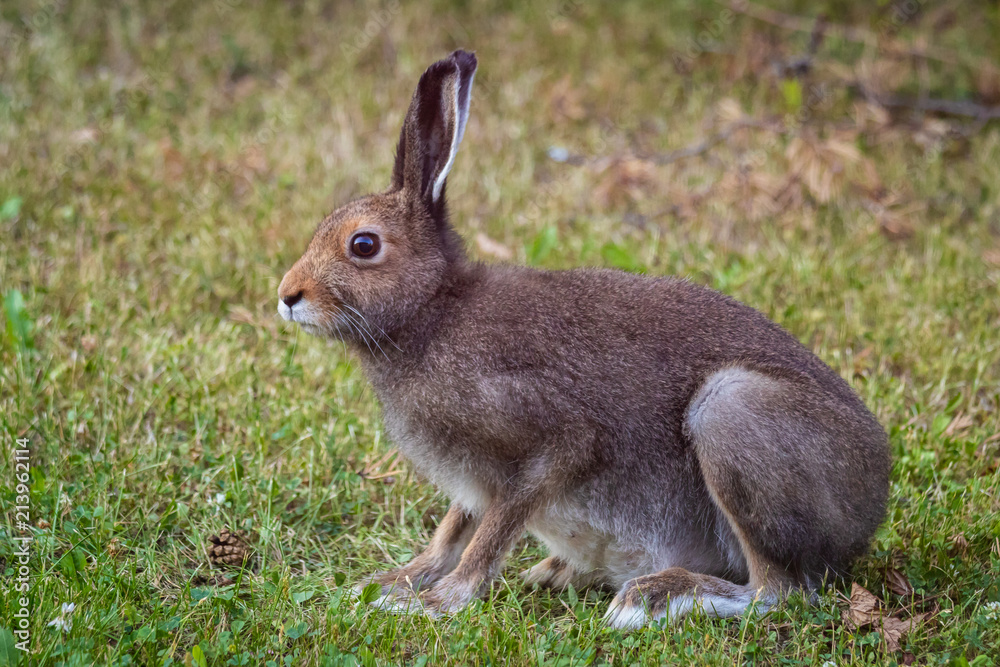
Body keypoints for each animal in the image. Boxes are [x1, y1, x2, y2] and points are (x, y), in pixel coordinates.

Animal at [277, 49, 891, 628]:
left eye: (363, 245)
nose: (287, 295)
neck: (432, 311)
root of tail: (869, 508)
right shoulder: (473, 486)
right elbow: (452, 531)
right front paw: (394, 582)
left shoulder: (553, 438)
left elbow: (493, 532)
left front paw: (438, 601)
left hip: (732, 414)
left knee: (777, 592)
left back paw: (653, 596)